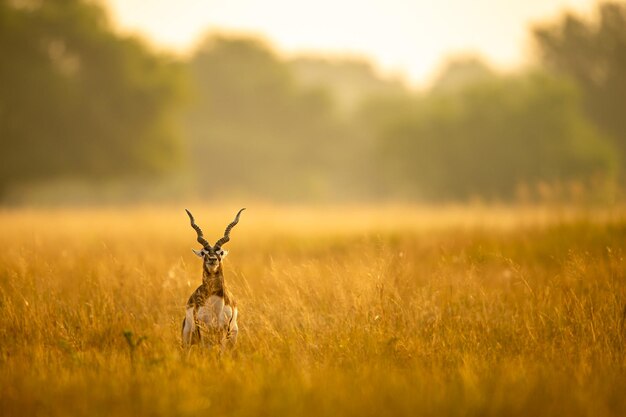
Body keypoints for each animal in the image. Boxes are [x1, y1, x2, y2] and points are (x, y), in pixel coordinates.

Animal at [180, 207, 244, 348]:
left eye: (220, 252)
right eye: (203, 252)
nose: (212, 259)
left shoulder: (224, 330)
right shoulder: (201, 329)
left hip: (233, 337)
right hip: (188, 338)